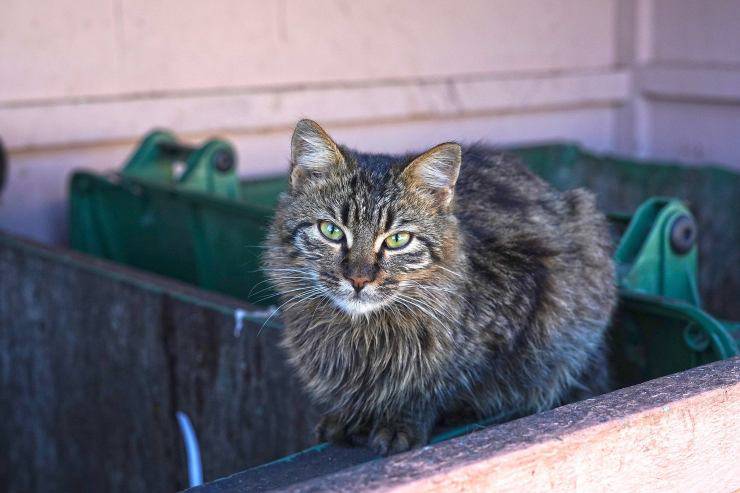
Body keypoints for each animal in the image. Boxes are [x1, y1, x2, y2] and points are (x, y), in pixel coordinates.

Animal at [264, 118, 616, 454]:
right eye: (331, 231)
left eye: (397, 240)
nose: (359, 280)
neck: (361, 333)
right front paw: (349, 416)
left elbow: (436, 384)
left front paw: (399, 421)